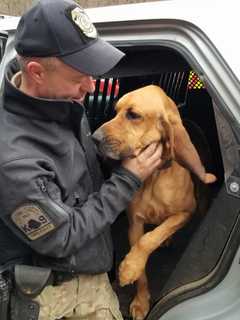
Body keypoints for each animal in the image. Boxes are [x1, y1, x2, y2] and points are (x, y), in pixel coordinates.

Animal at [92, 85, 216, 320]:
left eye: (133, 115)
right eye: (115, 110)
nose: (94, 138)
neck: (154, 177)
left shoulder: (186, 212)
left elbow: (150, 238)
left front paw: (129, 267)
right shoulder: (135, 224)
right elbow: (142, 263)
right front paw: (141, 300)